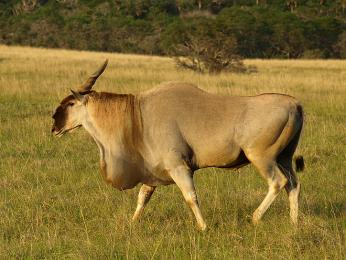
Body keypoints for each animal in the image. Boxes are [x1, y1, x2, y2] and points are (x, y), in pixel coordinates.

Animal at [51, 60, 302, 231]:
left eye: (71, 103)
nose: (54, 126)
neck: (138, 114)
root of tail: (294, 104)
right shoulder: (152, 173)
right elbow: (143, 197)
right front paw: (132, 223)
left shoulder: (179, 167)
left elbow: (190, 196)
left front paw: (203, 227)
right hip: (284, 158)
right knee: (293, 184)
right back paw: (293, 222)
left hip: (261, 158)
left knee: (278, 182)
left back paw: (256, 217)